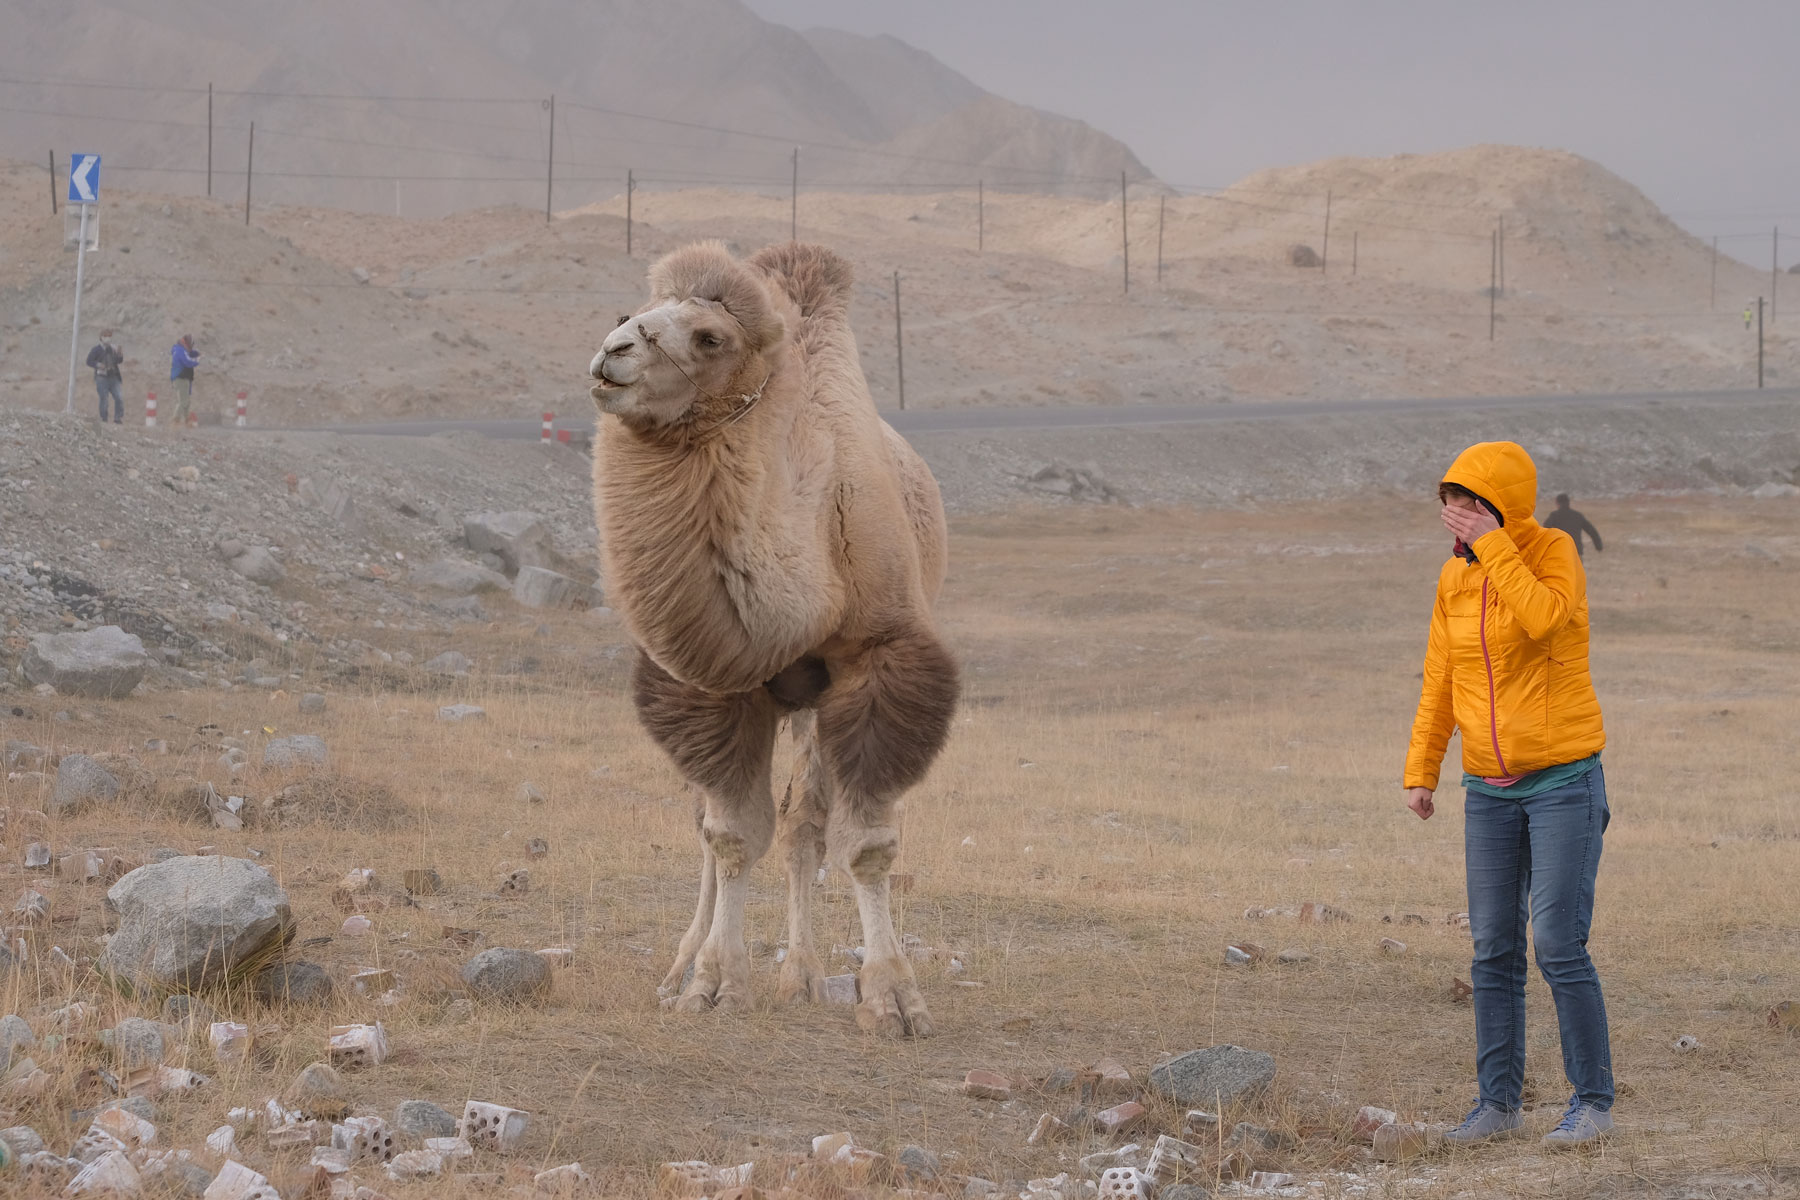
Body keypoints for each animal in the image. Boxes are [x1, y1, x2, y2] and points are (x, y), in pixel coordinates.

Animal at [586, 239, 957, 1036]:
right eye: (635, 311)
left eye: (709, 338)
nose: (612, 350)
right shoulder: (714, 681)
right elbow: (729, 835)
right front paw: (711, 983)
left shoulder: (876, 662)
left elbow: (863, 843)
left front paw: (893, 998)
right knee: (710, 824)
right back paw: (681, 967)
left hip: (815, 704)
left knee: (804, 825)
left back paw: (803, 975)